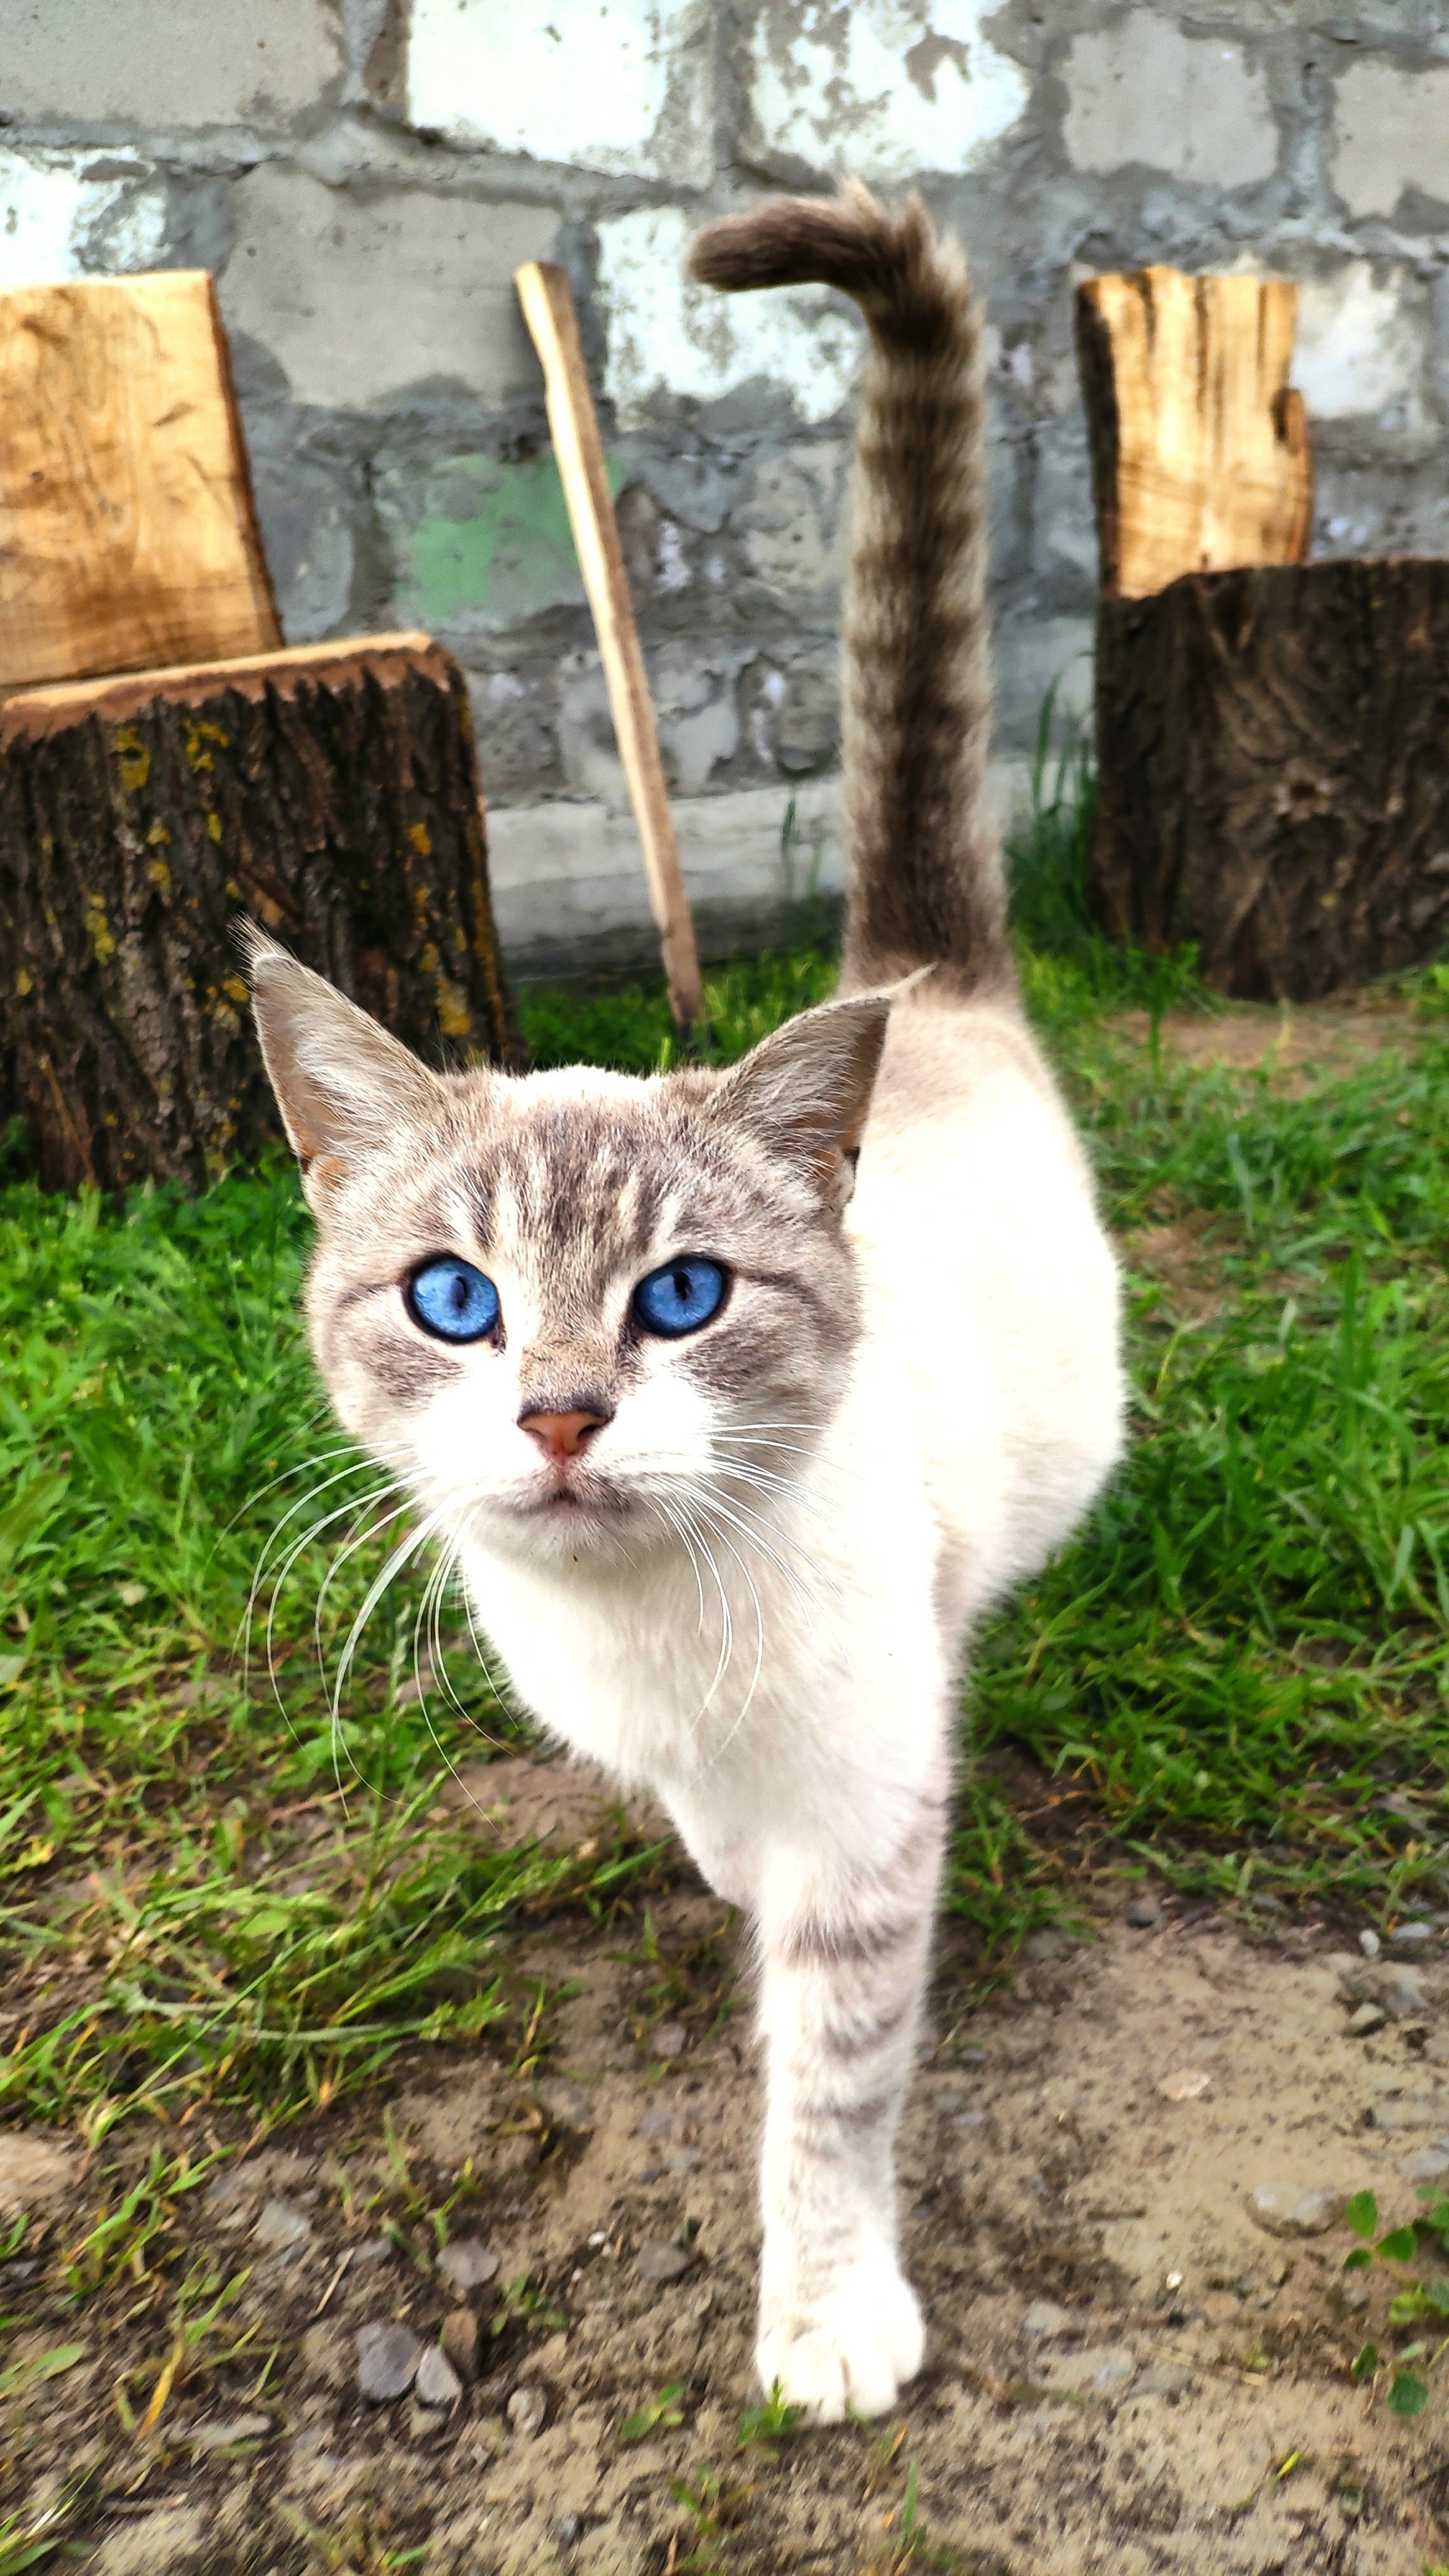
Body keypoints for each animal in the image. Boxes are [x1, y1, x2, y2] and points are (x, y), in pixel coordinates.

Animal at [247, 190, 1119, 2421]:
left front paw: (823, 2333)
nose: (559, 1416)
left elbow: (825, 2090)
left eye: (684, 1295)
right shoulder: (676, 1754)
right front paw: (703, 1863)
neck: (647, 1646)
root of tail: (927, 983)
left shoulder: (866, 1822)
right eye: (453, 1300)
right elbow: (700, 1840)